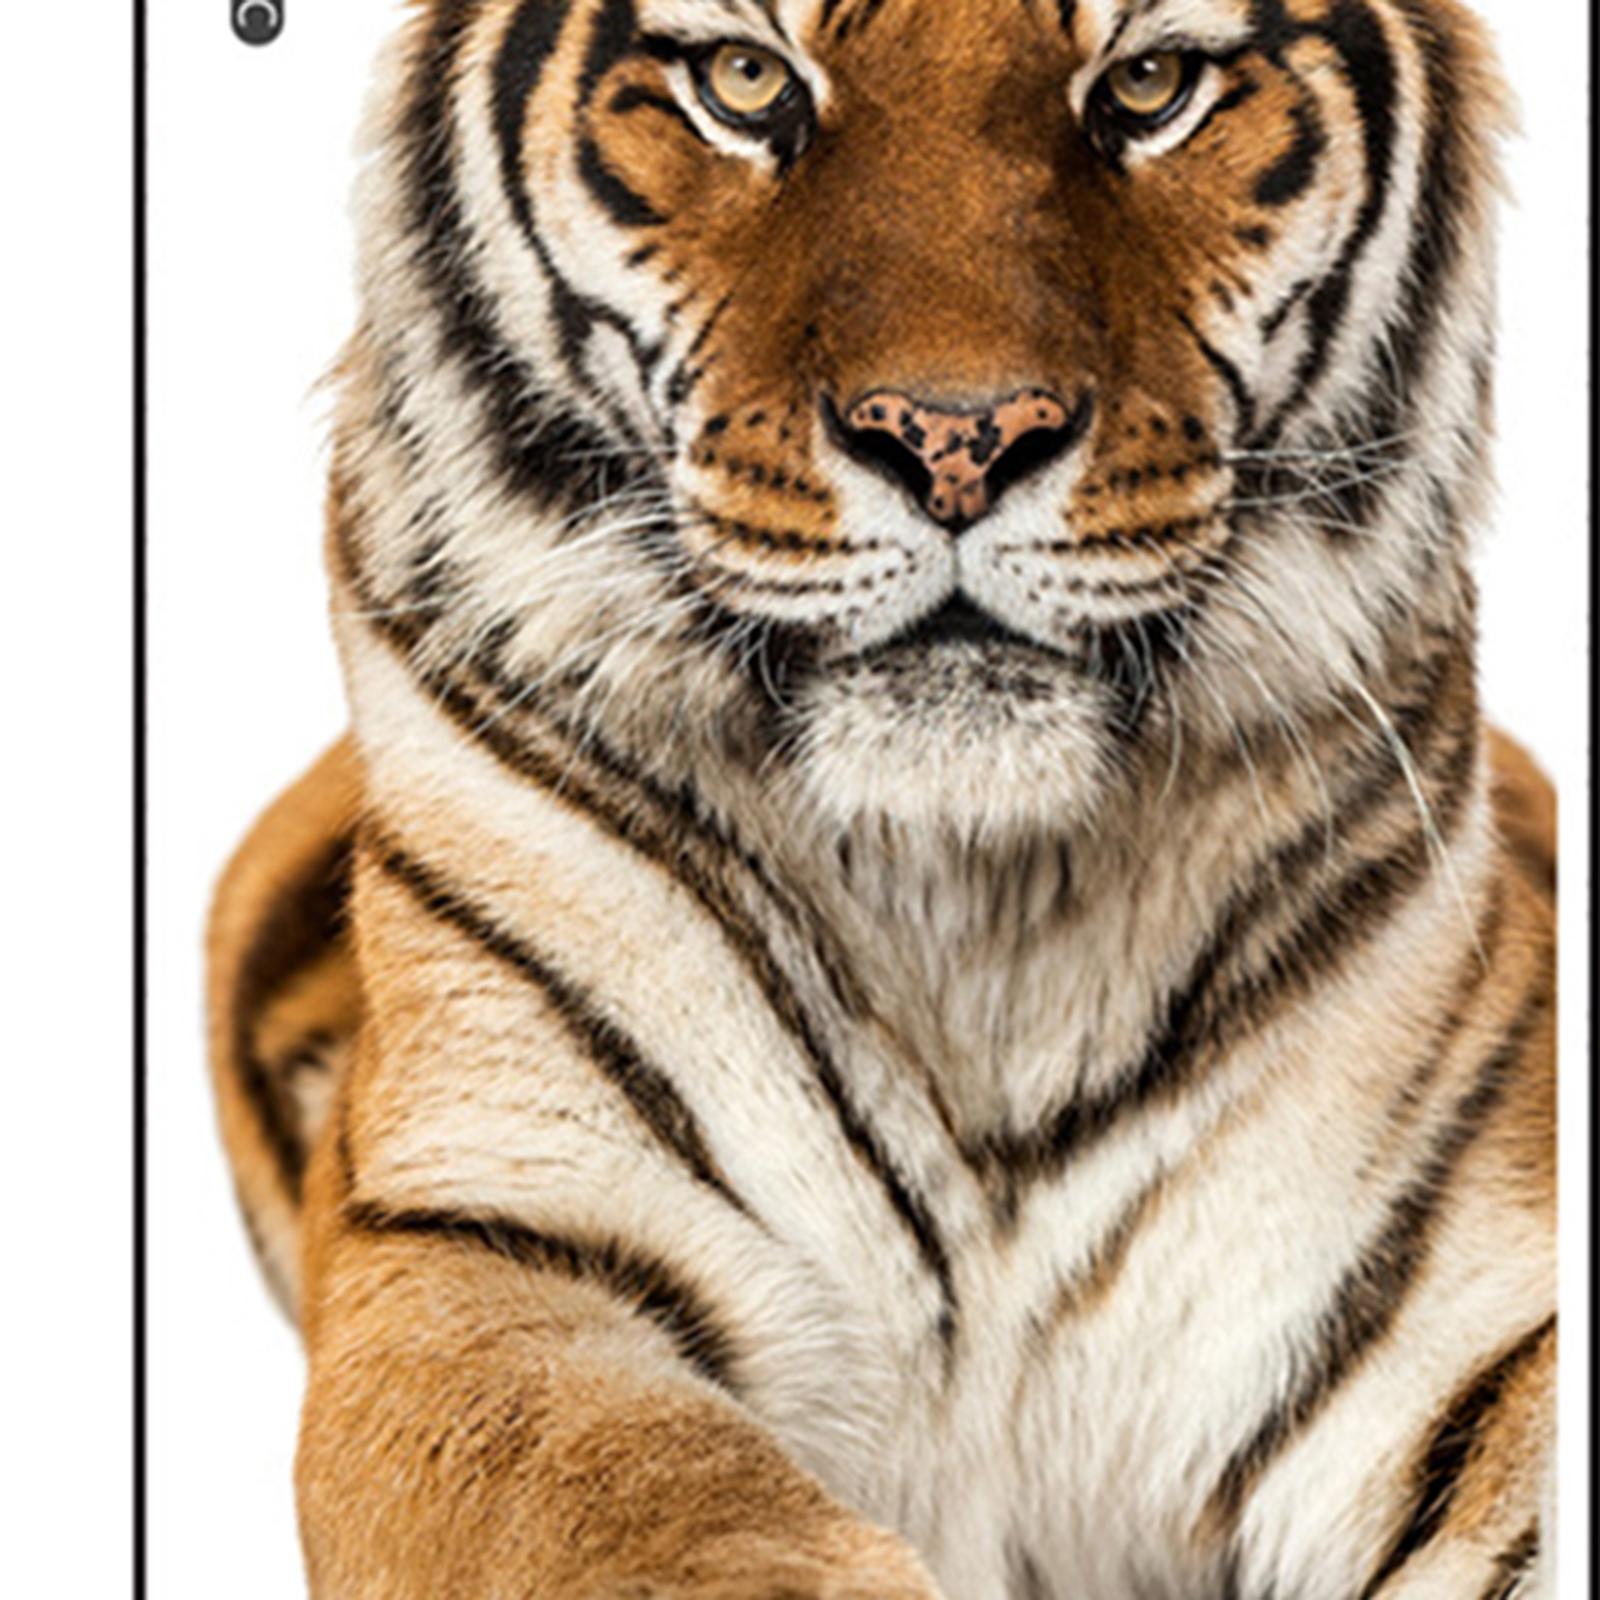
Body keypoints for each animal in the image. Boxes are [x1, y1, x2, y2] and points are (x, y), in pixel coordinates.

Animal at [206, 0, 1559, 1595]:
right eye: (745, 79)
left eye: (1149, 82)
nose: (955, 438)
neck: (976, 908)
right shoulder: (488, 1236)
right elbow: (647, 1508)